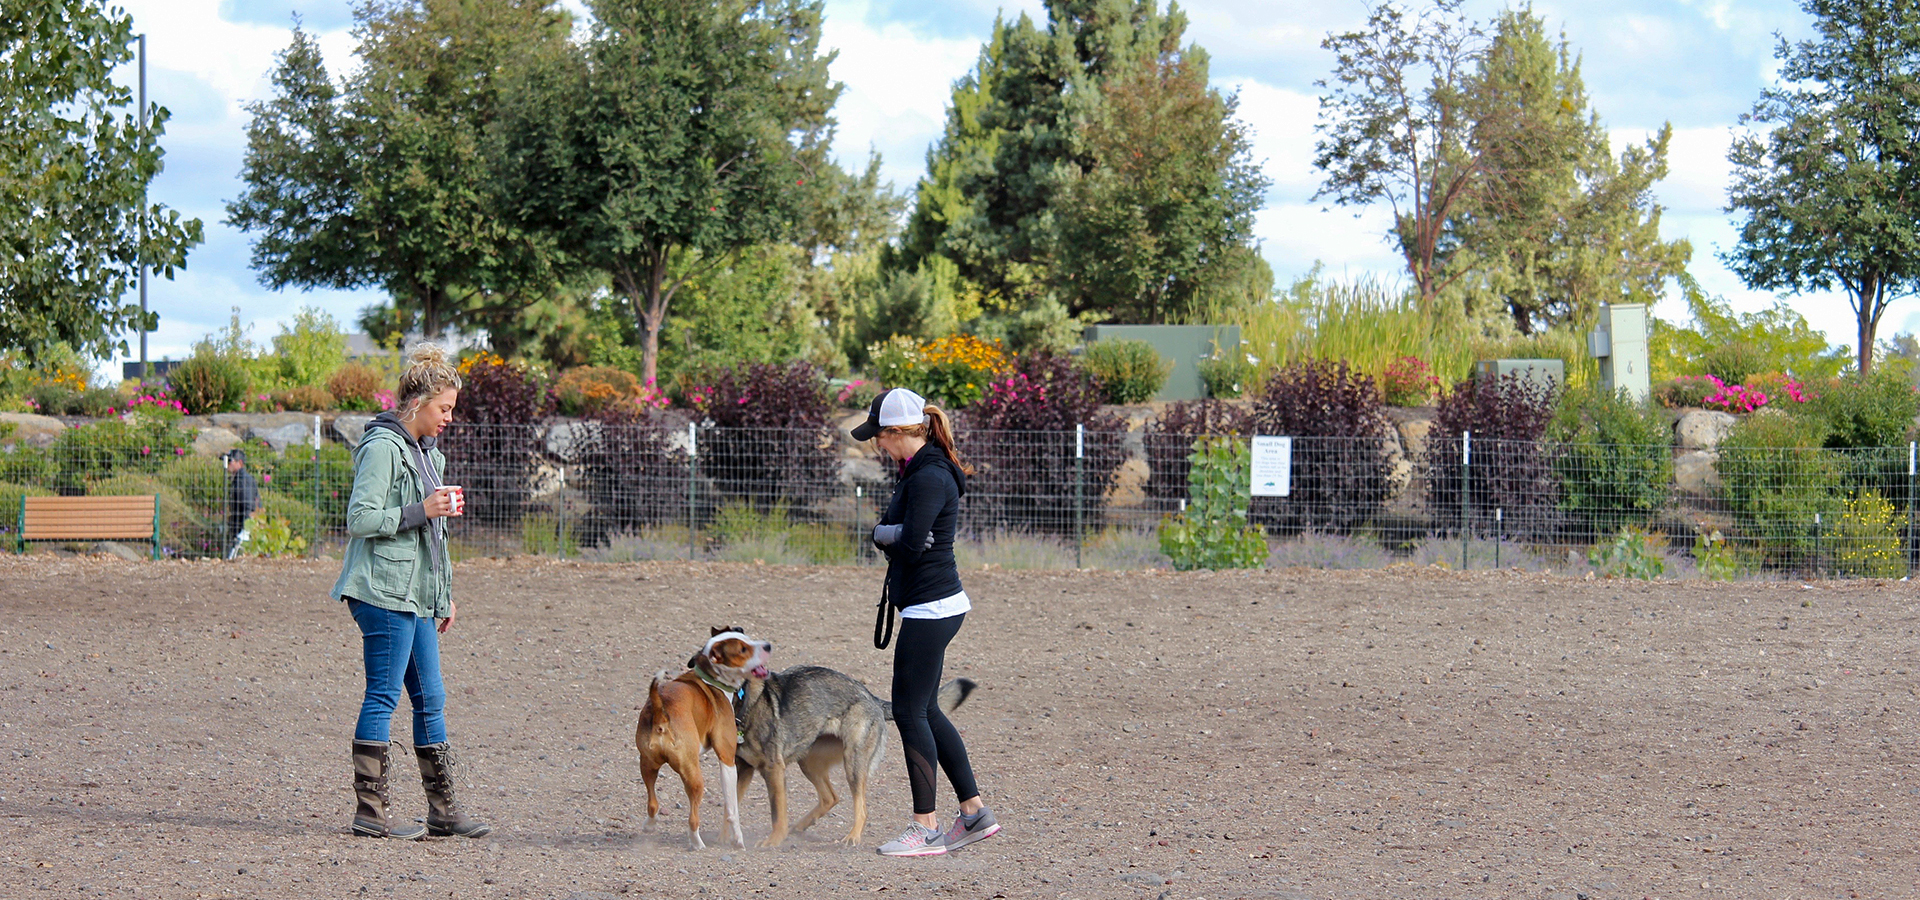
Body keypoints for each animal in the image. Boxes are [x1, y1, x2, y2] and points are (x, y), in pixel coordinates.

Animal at [637, 625, 771, 848]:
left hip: (648, 766)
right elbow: (732, 809)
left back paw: (649, 826)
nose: (768, 645)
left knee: (652, 804)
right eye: (743, 649)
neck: (711, 679)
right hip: (694, 777)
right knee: (693, 818)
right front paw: (738, 839)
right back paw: (697, 843)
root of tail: (660, 713)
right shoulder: (727, 759)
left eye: (747, 638)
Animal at [733, 663, 975, 844]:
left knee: (861, 807)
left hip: (853, 764)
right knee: (830, 797)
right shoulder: (742, 768)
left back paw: (852, 836)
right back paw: (801, 826)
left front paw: (772, 841)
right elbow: (732, 805)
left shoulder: (773, 769)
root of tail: (870, 696)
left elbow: (777, 814)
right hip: (809, 763)